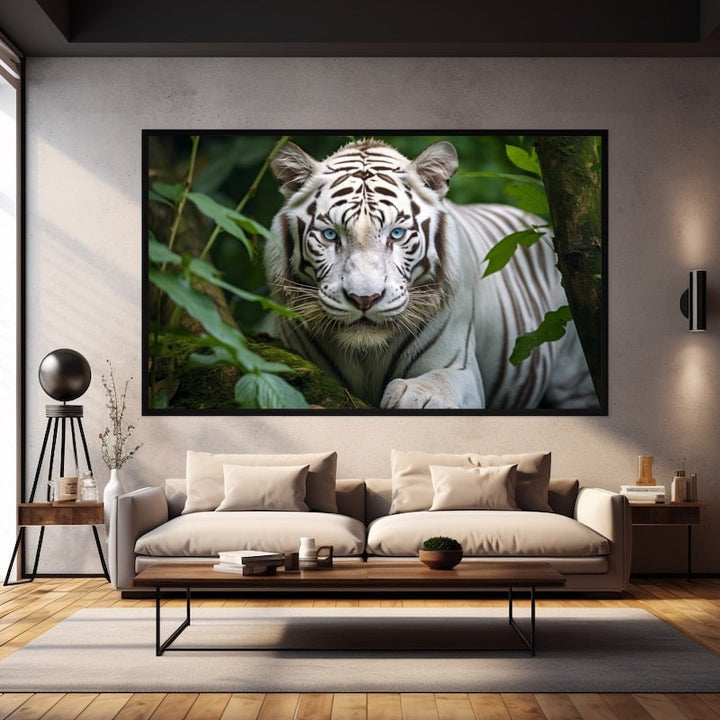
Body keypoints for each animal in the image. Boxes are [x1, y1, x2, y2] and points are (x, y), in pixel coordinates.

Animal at [264, 138, 599, 410]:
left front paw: (418, 397)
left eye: (396, 234)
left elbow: (437, 382)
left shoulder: (459, 368)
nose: (364, 299)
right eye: (331, 235)